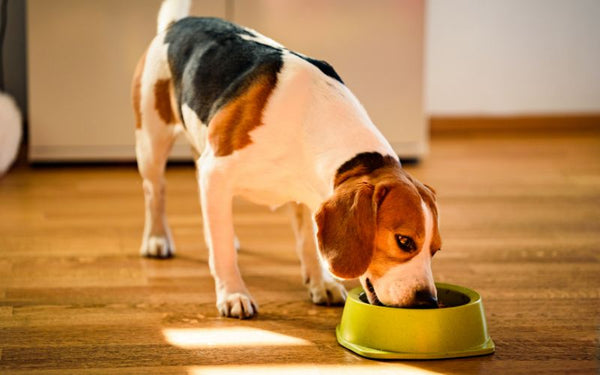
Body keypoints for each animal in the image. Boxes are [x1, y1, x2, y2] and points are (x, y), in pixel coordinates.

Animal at [132, 0, 440, 320]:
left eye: (435, 250)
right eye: (404, 241)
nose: (429, 301)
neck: (310, 118)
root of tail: (176, 25)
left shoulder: (309, 195)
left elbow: (308, 243)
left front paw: (320, 283)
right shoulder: (215, 172)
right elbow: (222, 251)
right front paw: (233, 293)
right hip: (152, 143)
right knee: (155, 192)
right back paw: (157, 239)